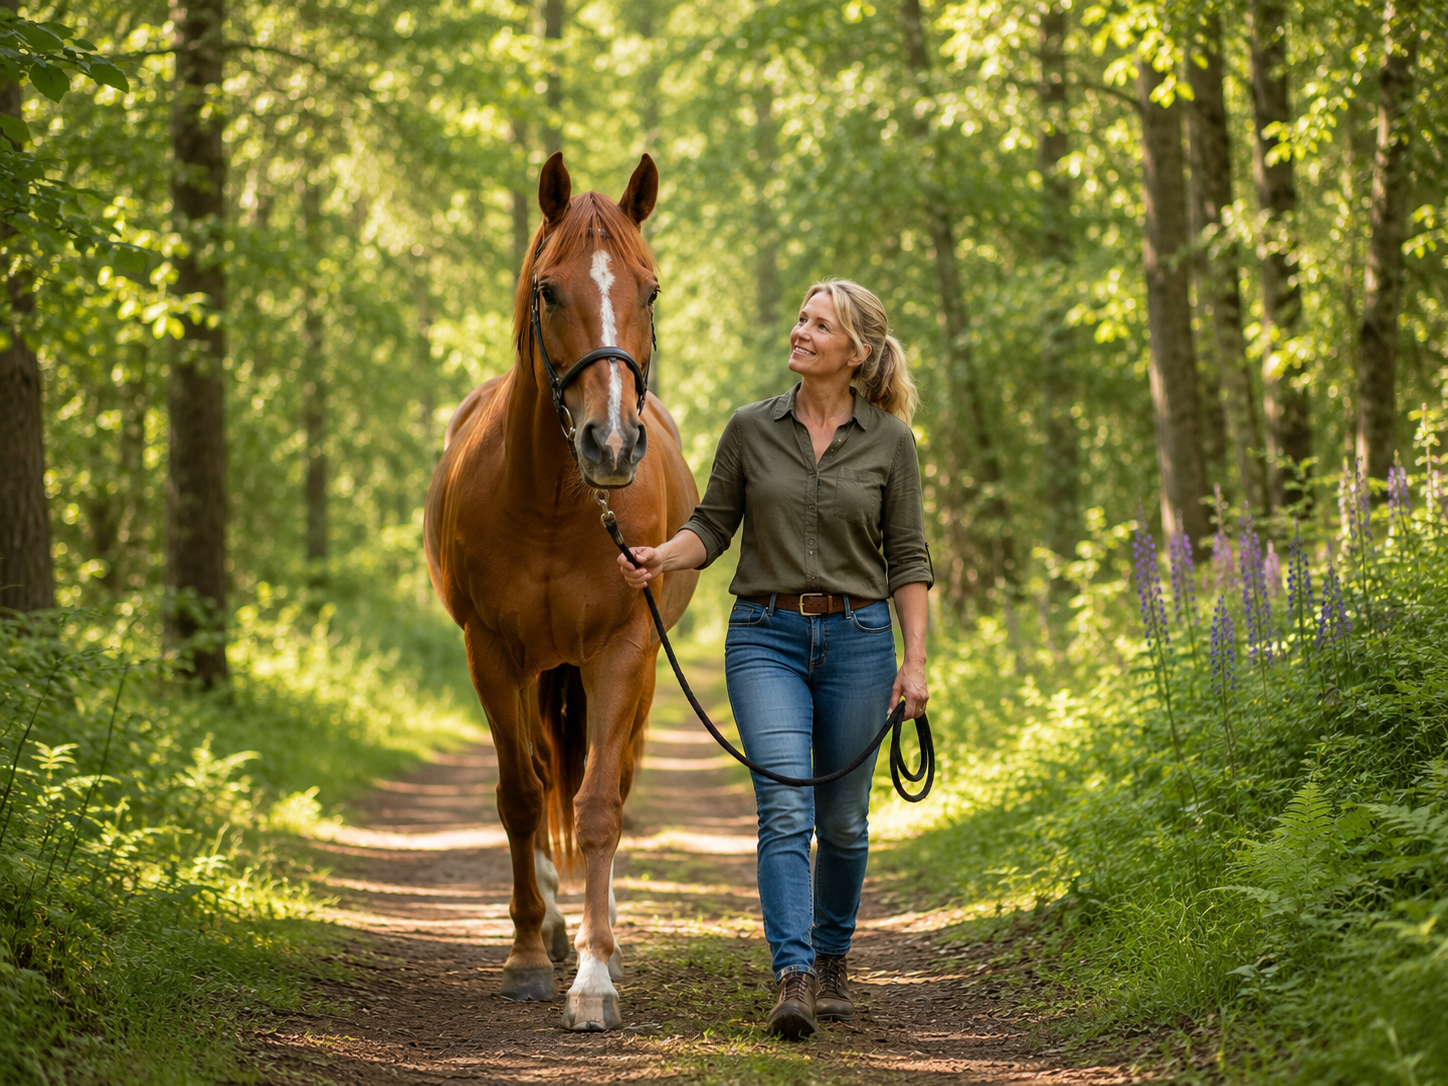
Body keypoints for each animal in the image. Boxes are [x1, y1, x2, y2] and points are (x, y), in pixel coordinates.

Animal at [424, 152, 699, 1031]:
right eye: (549, 290)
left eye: (651, 290)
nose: (611, 444)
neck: (552, 501)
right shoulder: (491, 653)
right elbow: (519, 796)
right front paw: (525, 956)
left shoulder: (624, 651)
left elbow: (600, 804)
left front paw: (596, 976)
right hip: (536, 669)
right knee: (544, 775)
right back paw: (547, 926)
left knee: (597, 782)